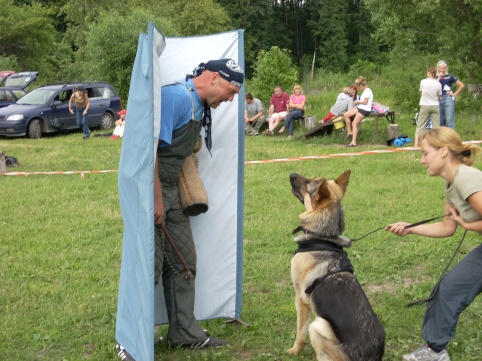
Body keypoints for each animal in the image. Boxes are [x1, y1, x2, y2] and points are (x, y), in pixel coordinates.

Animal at [286, 171, 384, 360]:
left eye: (308, 184)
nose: (291, 173)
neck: (322, 236)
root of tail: (370, 357)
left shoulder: (300, 300)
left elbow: (300, 332)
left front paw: (294, 350)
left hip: (318, 326)